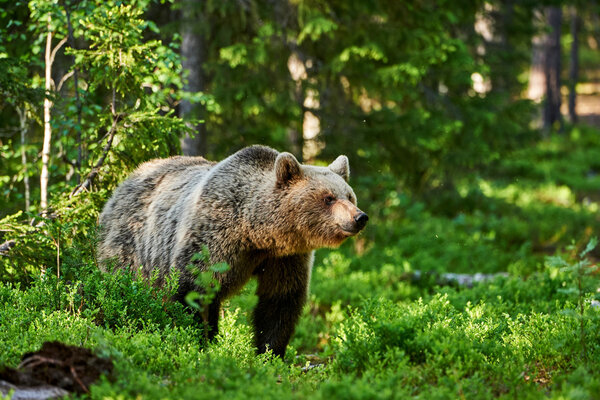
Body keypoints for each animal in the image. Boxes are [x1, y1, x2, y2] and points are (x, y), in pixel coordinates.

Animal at [98, 145, 366, 356]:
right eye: (328, 198)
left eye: (349, 196)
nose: (359, 217)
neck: (256, 233)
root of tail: (123, 183)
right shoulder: (212, 235)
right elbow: (193, 290)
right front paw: (198, 340)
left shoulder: (285, 257)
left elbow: (280, 300)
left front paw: (270, 353)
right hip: (130, 245)